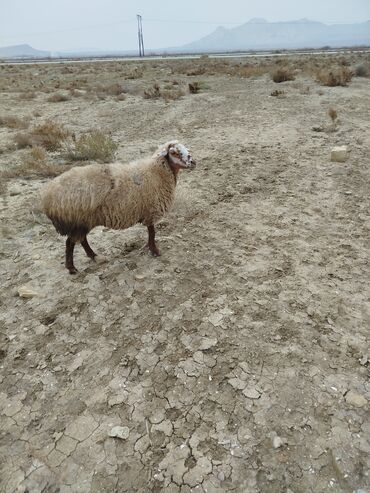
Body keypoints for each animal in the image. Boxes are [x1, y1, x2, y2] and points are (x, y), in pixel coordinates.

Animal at [40, 140, 197, 272]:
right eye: (174, 152)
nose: (193, 162)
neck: (155, 173)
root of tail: (48, 196)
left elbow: (151, 233)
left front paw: (151, 249)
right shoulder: (150, 211)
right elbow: (152, 233)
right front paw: (155, 251)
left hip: (84, 221)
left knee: (81, 240)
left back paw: (94, 256)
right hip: (77, 221)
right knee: (70, 242)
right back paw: (72, 268)